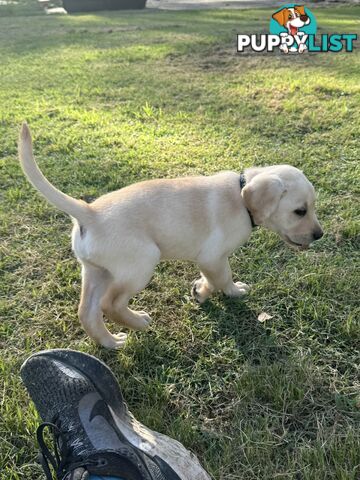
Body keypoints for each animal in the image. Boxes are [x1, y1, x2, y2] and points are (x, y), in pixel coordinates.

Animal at [19, 124, 324, 348]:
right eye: (300, 211)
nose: (319, 235)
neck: (241, 196)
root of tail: (89, 211)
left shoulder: (208, 259)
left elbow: (210, 279)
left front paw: (200, 292)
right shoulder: (213, 257)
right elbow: (222, 278)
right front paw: (233, 292)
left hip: (96, 271)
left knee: (87, 312)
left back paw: (112, 342)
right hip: (141, 262)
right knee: (110, 303)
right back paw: (139, 321)